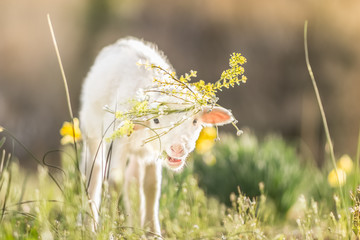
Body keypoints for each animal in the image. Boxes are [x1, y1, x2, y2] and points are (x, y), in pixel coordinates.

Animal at [79, 37, 233, 234]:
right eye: (156, 120)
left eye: (195, 121)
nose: (177, 148)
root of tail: (124, 41)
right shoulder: (119, 142)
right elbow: (114, 183)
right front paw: (108, 230)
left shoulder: (153, 153)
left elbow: (151, 187)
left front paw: (152, 232)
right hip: (91, 129)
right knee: (93, 170)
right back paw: (88, 225)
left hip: (139, 153)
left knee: (133, 180)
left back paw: (135, 226)